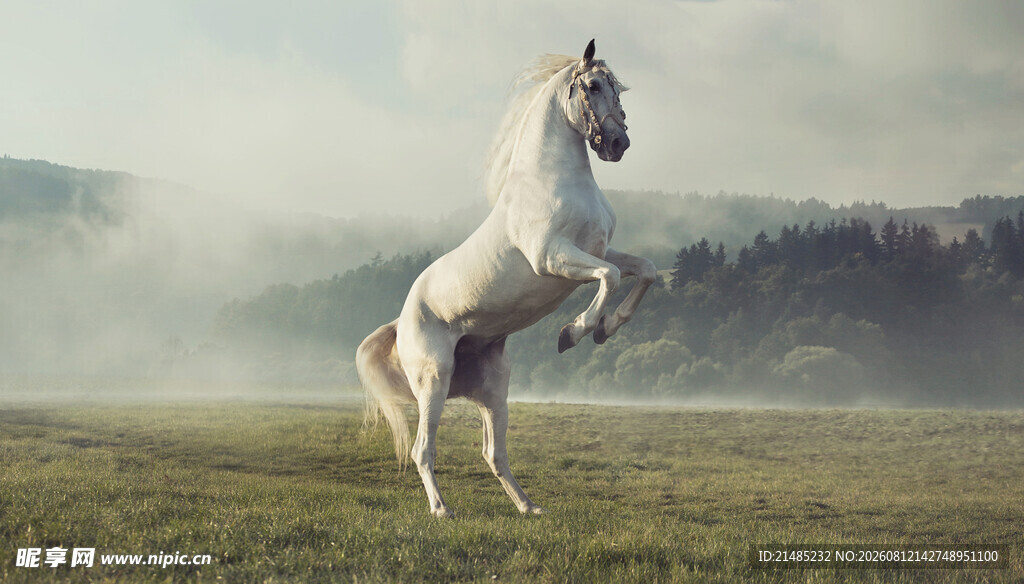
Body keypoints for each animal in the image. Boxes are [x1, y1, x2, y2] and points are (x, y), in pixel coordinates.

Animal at [356, 40, 656, 518]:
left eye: (618, 89)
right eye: (592, 86)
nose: (618, 143)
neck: (552, 181)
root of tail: (401, 321)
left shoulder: (595, 252)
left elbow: (644, 270)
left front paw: (606, 329)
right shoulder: (553, 258)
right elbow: (609, 278)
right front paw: (574, 332)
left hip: (493, 388)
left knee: (493, 453)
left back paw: (529, 507)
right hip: (433, 381)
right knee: (423, 448)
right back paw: (442, 510)